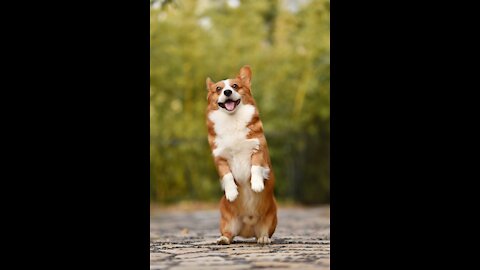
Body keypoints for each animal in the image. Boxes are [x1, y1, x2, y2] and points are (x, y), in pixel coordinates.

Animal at [205, 65, 278, 245]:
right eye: (218, 89)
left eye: (235, 86)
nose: (227, 92)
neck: (232, 121)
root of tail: (248, 229)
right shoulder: (220, 159)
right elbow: (227, 176)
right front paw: (232, 193)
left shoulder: (258, 150)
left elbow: (255, 167)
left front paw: (257, 185)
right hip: (227, 220)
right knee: (229, 234)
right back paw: (223, 239)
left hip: (271, 218)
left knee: (263, 232)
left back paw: (264, 238)